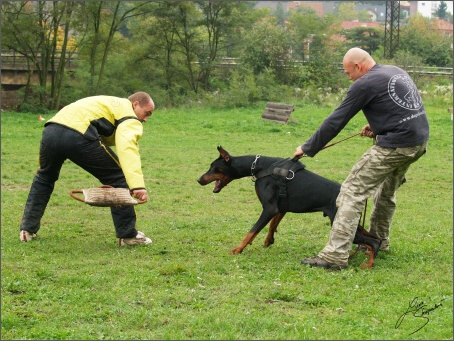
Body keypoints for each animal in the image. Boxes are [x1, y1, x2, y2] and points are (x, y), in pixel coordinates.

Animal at [197, 146, 382, 268]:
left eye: (214, 167)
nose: (199, 180)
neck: (258, 166)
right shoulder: (280, 208)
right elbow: (272, 225)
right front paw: (268, 241)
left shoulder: (269, 208)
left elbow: (252, 231)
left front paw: (238, 249)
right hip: (350, 222)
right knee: (376, 239)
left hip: (340, 222)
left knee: (373, 241)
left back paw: (369, 264)